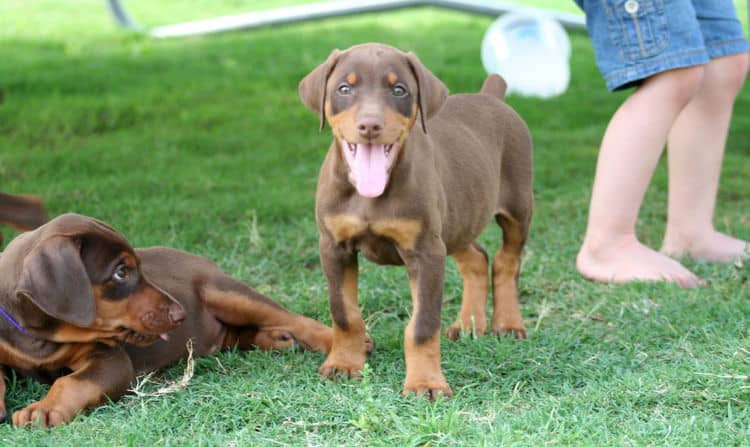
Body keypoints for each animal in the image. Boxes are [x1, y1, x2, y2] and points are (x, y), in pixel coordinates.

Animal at [0, 214, 332, 428]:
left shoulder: (110, 360)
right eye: (121, 272)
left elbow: (72, 382)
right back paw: (277, 339)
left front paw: (42, 410)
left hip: (226, 292)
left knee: (294, 319)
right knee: (233, 335)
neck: (38, 338)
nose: (180, 313)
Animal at [300, 43, 536, 400]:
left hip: (517, 208)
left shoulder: (426, 251)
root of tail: (491, 96)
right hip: (456, 221)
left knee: (507, 260)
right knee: (476, 258)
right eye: (344, 88)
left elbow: (422, 324)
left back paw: (507, 323)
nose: (370, 125)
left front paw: (426, 383)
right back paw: (469, 324)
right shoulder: (334, 246)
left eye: (399, 90)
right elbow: (344, 313)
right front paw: (343, 363)